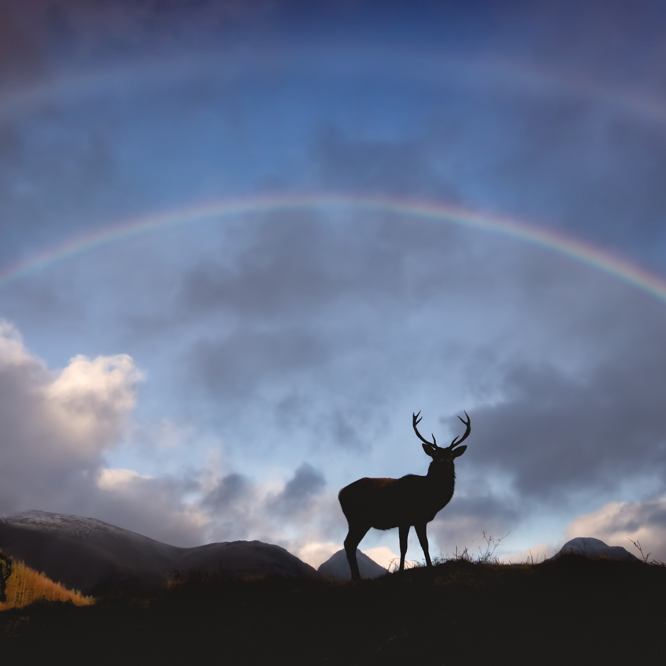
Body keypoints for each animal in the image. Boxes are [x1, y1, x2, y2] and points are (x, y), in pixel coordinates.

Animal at [338, 410, 470, 580]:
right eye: (434, 455)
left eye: (452, 455)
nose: (445, 463)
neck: (431, 497)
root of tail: (340, 493)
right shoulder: (408, 518)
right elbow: (408, 546)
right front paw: (405, 570)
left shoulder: (417, 520)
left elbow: (421, 544)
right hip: (357, 519)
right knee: (349, 543)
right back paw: (356, 578)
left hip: (360, 522)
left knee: (351, 544)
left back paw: (357, 578)